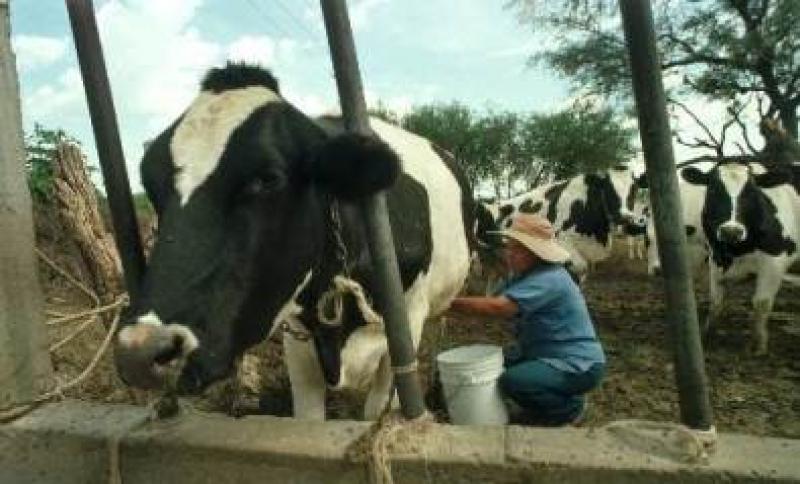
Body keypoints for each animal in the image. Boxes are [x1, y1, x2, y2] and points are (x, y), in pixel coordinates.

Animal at [112, 63, 476, 420]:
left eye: (267, 178)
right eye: (150, 182)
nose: (140, 350)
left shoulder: (407, 320)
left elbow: (381, 410)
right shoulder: (297, 332)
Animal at [680, 161, 800, 354]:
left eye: (753, 193)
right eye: (713, 190)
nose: (731, 231)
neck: (737, 252)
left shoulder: (775, 261)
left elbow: (761, 303)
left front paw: (759, 345)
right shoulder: (715, 259)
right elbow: (716, 301)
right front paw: (708, 334)